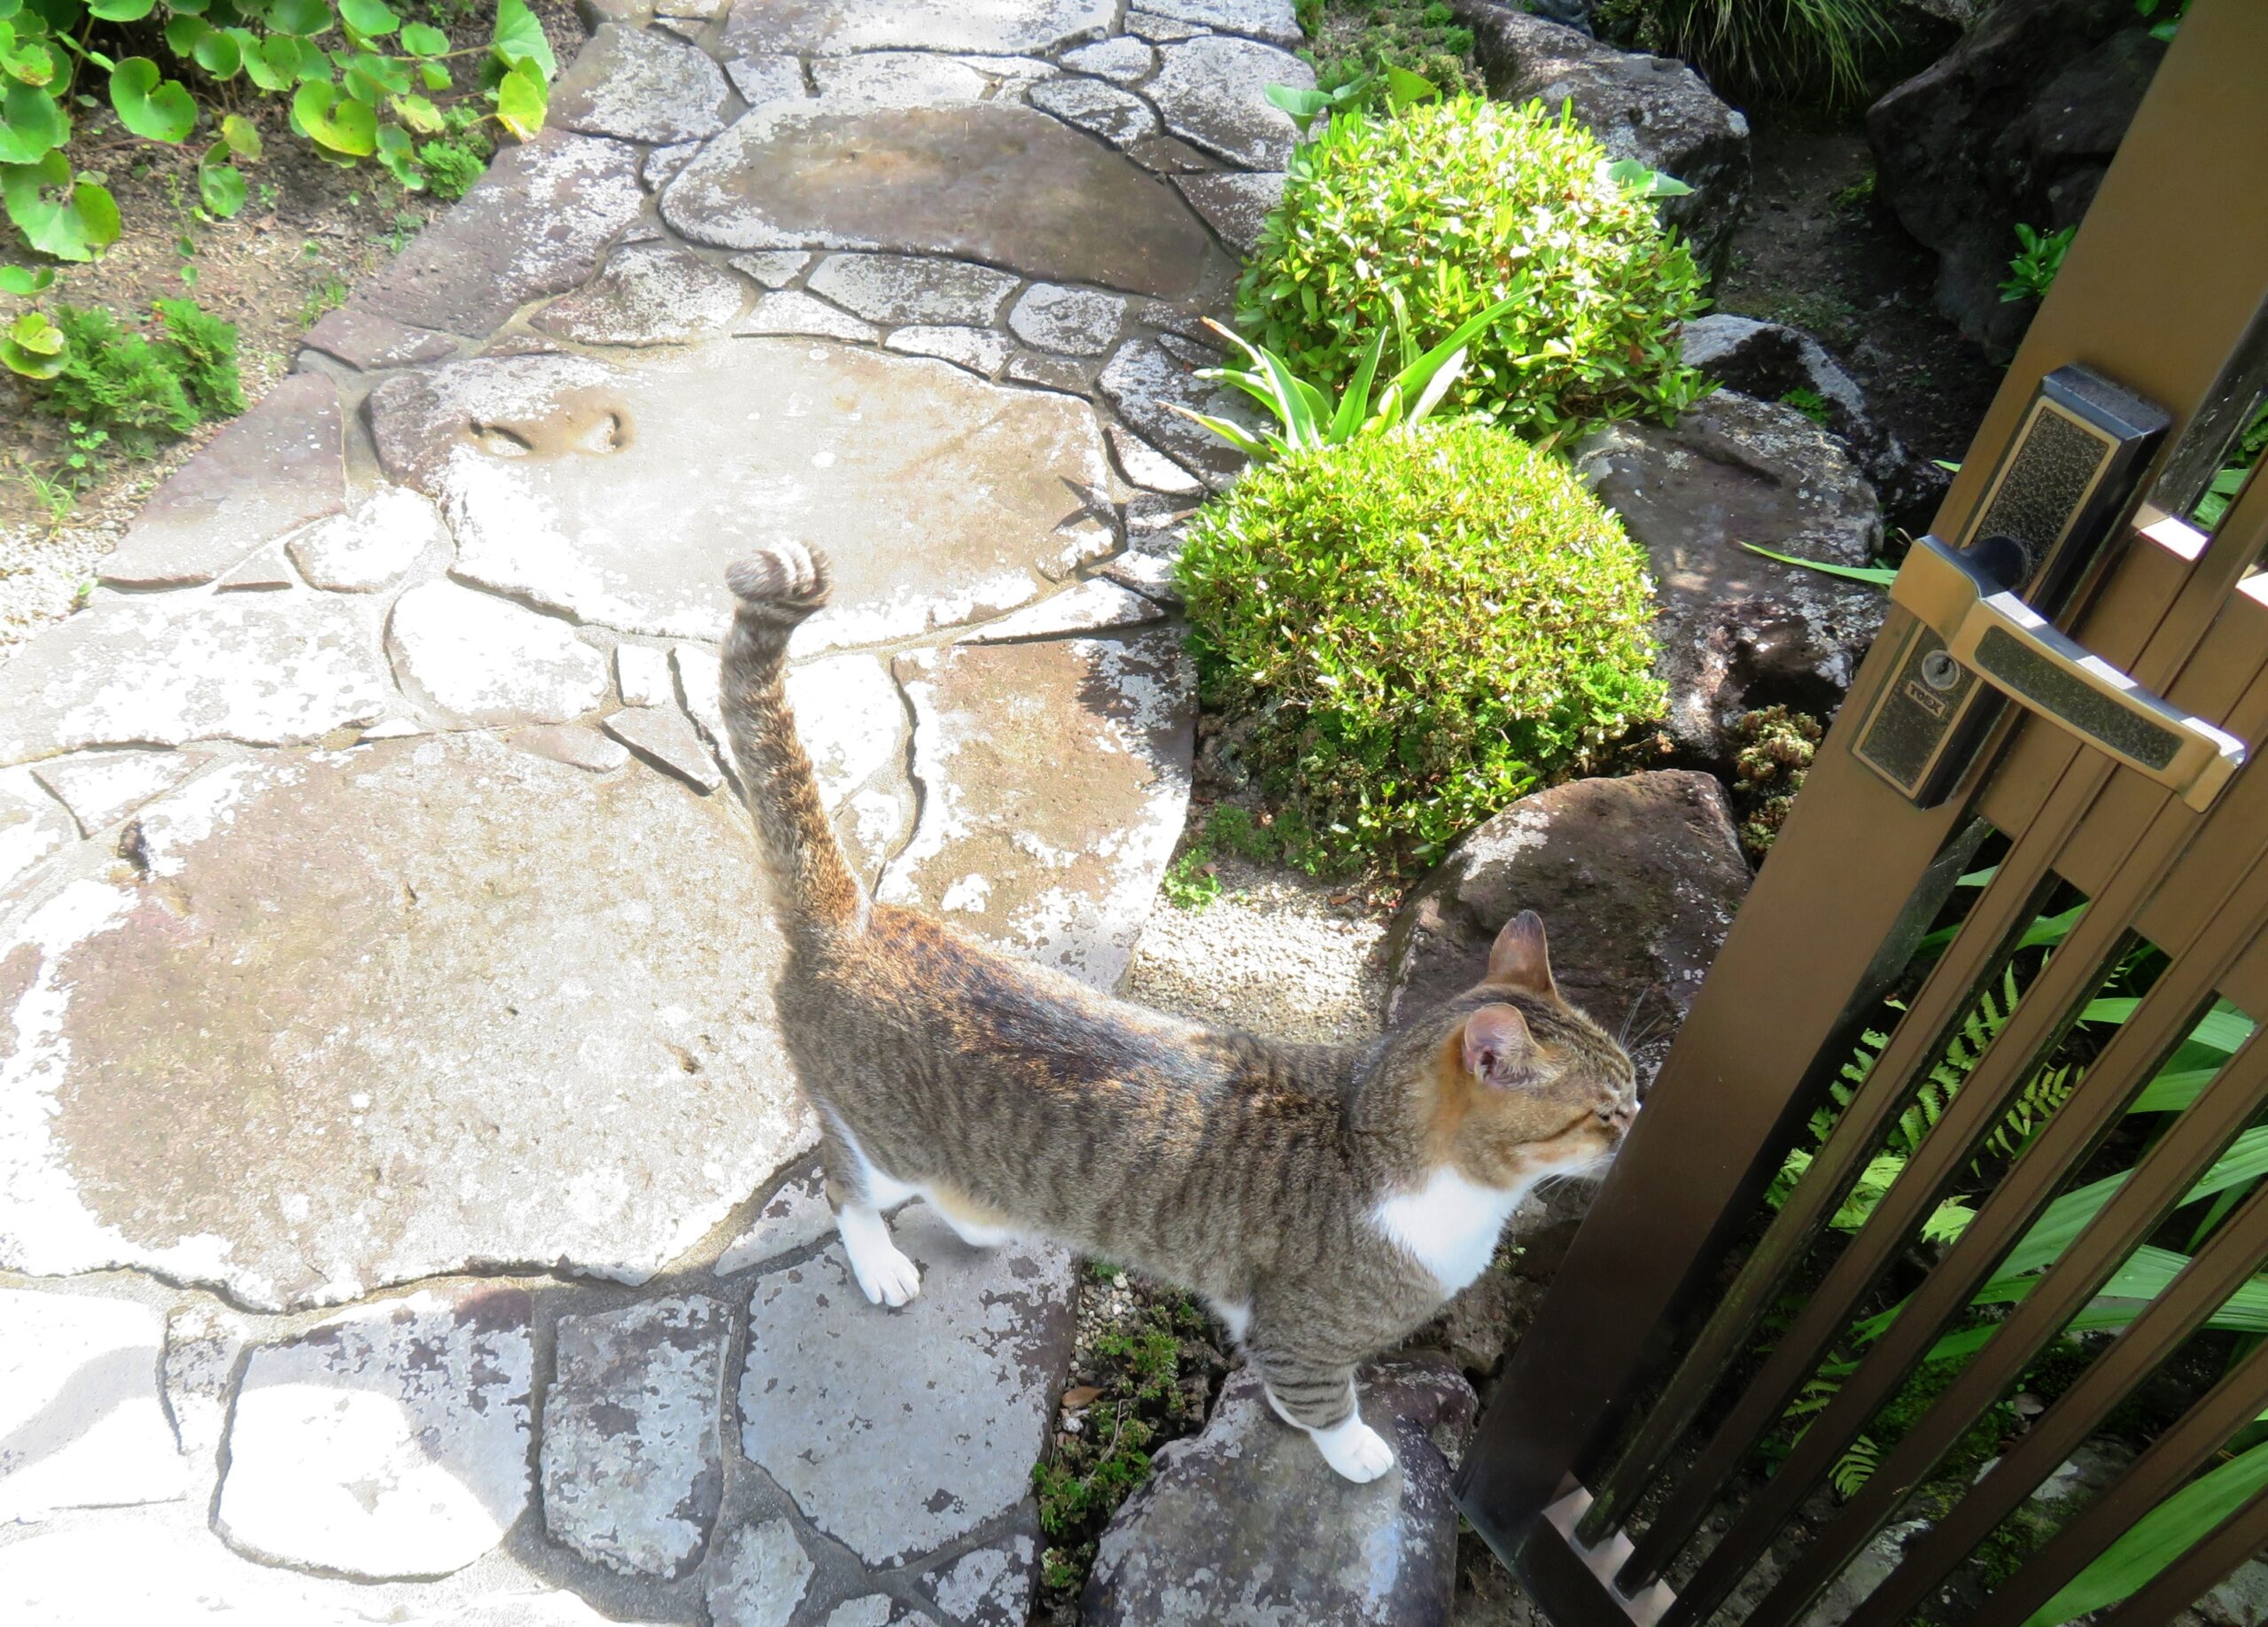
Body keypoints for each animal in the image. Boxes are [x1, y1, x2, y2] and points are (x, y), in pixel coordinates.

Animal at [721, 549, 1633, 1488]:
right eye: (1604, 1110)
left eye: (1635, 1085)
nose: (1640, 1120)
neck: (1378, 1144)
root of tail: (855, 919)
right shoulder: (1302, 1336)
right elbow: (1322, 1402)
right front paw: (1357, 1451)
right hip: (885, 1141)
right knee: (844, 1183)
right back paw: (880, 1262)